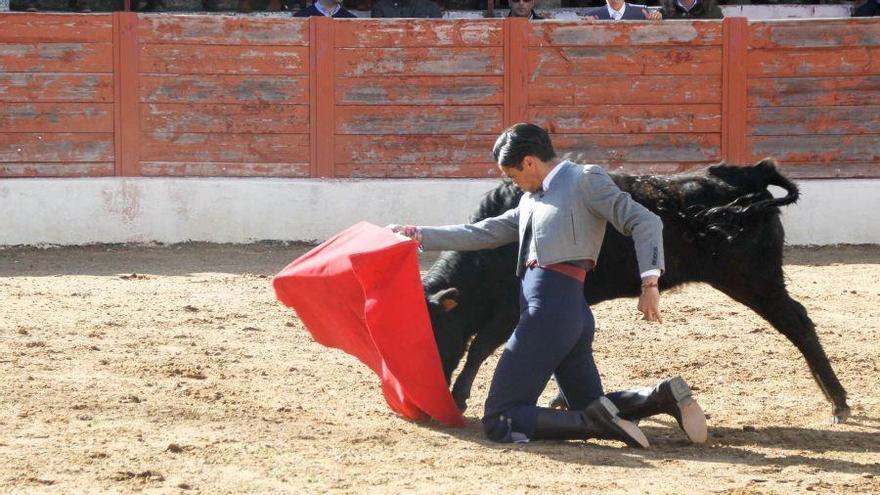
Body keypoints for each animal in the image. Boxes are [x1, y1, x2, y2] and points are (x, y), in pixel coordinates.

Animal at [422, 161, 848, 424]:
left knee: (797, 322)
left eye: (434, 334)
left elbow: (481, 347)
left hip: (753, 278)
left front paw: (458, 398)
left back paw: (838, 402)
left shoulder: (512, 308)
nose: (425, 405)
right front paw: (563, 399)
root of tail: (752, 176)